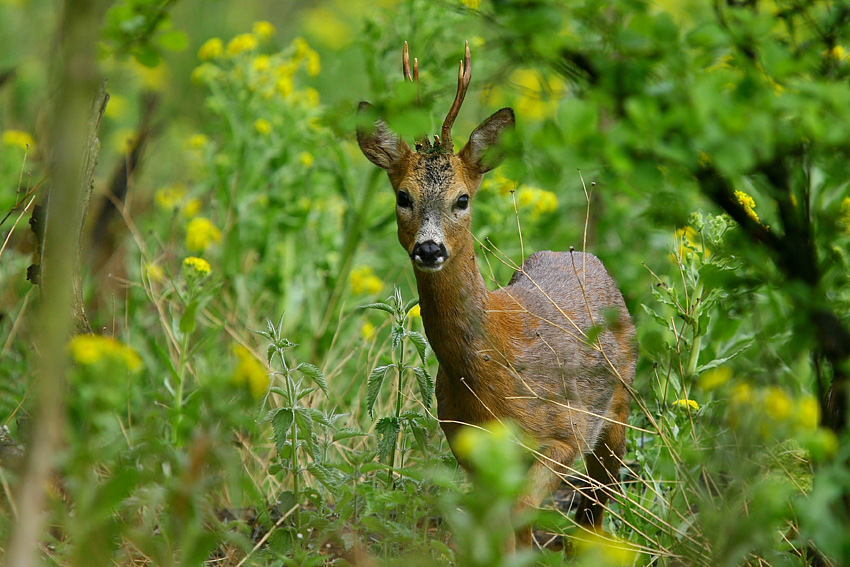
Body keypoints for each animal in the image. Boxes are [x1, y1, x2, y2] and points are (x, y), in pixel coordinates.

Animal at [356, 42, 636, 548]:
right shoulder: (465, 442)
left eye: (462, 199)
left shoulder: (565, 431)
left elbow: (518, 517)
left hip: (617, 411)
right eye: (403, 196)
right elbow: (491, 527)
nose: (429, 248)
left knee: (595, 513)